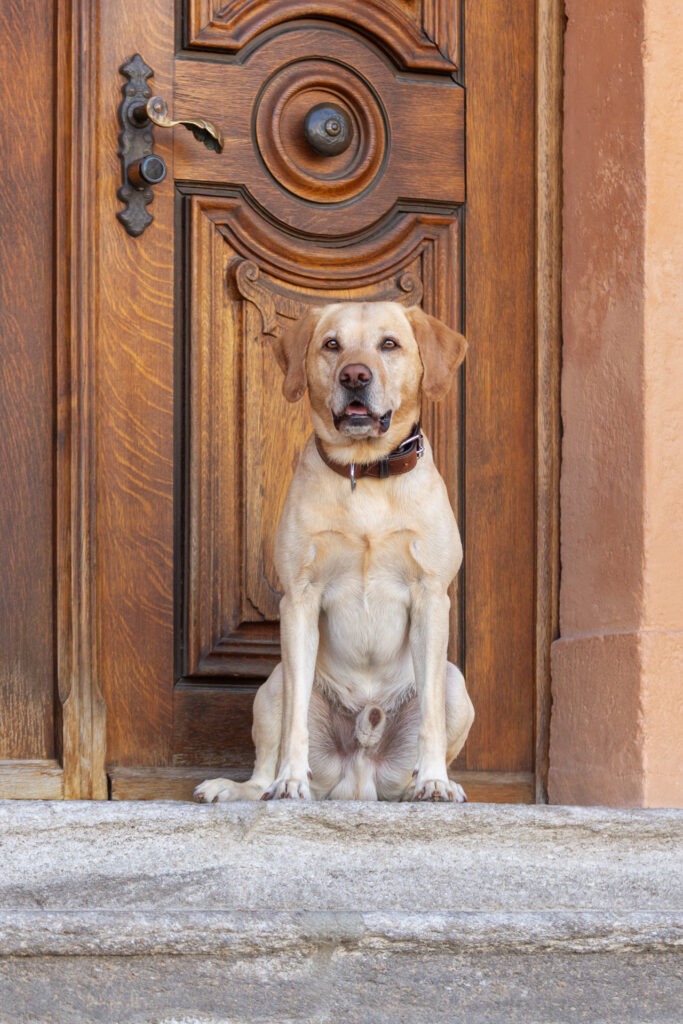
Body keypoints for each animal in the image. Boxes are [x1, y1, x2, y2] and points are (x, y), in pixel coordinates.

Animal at [194, 303, 475, 806]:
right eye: (332, 344)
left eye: (389, 344)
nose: (355, 375)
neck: (364, 472)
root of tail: (358, 778)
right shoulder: (299, 599)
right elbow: (295, 726)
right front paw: (291, 780)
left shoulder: (430, 597)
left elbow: (431, 719)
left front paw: (434, 780)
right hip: (271, 686)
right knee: (267, 759)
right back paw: (241, 787)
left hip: (456, 685)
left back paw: (427, 784)